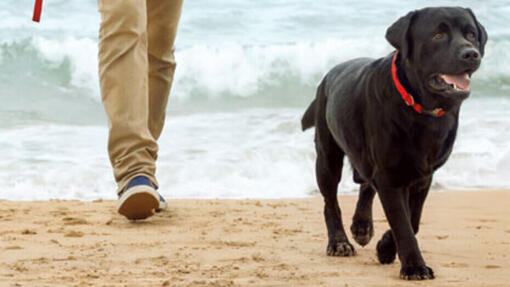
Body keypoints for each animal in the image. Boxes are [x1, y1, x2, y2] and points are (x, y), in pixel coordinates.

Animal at [300, 6, 488, 282]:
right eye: (438, 35)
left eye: (471, 34)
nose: (471, 53)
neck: (421, 109)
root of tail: (328, 76)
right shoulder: (390, 176)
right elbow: (402, 223)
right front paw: (414, 266)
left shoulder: (422, 176)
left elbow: (413, 219)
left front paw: (386, 248)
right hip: (327, 157)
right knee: (330, 202)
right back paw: (339, 242)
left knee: (366, 184)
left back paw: (362, 226)